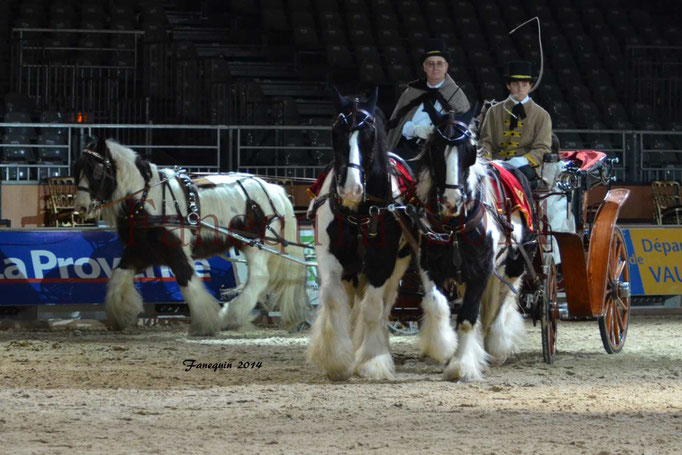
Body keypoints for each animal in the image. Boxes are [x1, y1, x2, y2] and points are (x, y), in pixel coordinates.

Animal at [72, 138, 306, 334]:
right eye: (77, 170)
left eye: (97, 171)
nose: (80, 207)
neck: (148, 200)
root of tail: (274, 190)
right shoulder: (138, 251)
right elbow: (118, 276)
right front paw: (121, 315)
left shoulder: (176, 250)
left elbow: (188, 281)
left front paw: (207, 322)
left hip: (255, 245)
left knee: (258, 278)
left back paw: (232, 316)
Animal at [306, 90, 412, 382]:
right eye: (335, 130)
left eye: (370, 133)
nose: (351, 188)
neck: (359, 213)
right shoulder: (331, 257)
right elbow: (334, 300)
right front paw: (336, 360)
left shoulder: (382, 262)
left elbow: (374, 308)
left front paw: (372, 361)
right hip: (353, 271)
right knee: (353, 305)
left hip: (398, 266)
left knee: (383, 305)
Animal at [412, 110, 532, 382]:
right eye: (435, 147)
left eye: (470, 150)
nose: (451, 201)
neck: (455, 226)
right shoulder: (429, 267)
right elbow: (437, 304)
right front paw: (443, 347)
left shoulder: (481, 271)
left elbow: (467, 319)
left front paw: (461, 366)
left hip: (516, 262)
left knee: (507, 297)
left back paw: (497, 344)